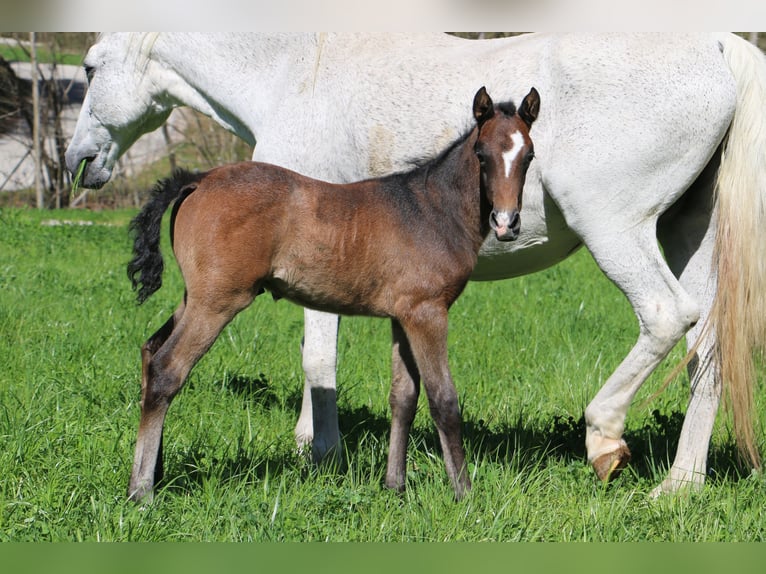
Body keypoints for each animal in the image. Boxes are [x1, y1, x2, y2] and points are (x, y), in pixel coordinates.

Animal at [67, 32, 766, 500]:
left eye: (90, 66)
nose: (79, 162)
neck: (295, 71)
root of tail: (718, 44)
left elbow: (339, 367)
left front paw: (323, 453)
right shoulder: (397, 306)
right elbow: (382, 383)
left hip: (618, 226)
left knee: (669, 316)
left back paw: (606, 438)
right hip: (687, 229)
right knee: (707, 346)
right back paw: (680, 484)